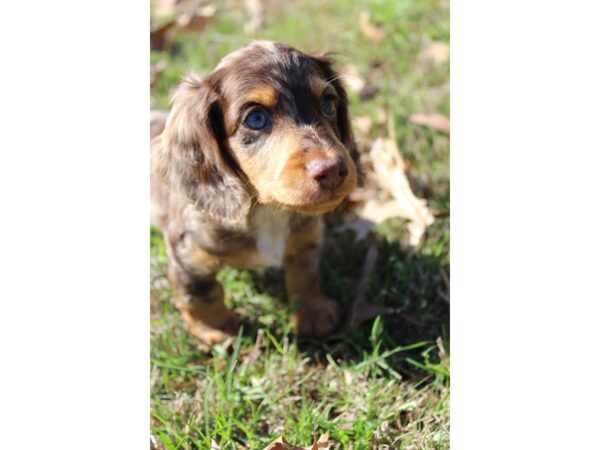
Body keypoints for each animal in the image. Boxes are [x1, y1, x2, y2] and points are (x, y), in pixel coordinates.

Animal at [152, 41, 358, 344]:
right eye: (256, 119)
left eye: (328, 103)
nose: (332, 170)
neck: (267, 210)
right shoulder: (187, 255)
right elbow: (200, 293)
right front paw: (216, 328)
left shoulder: (307, 238)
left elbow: (305, 274)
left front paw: (314, 311)